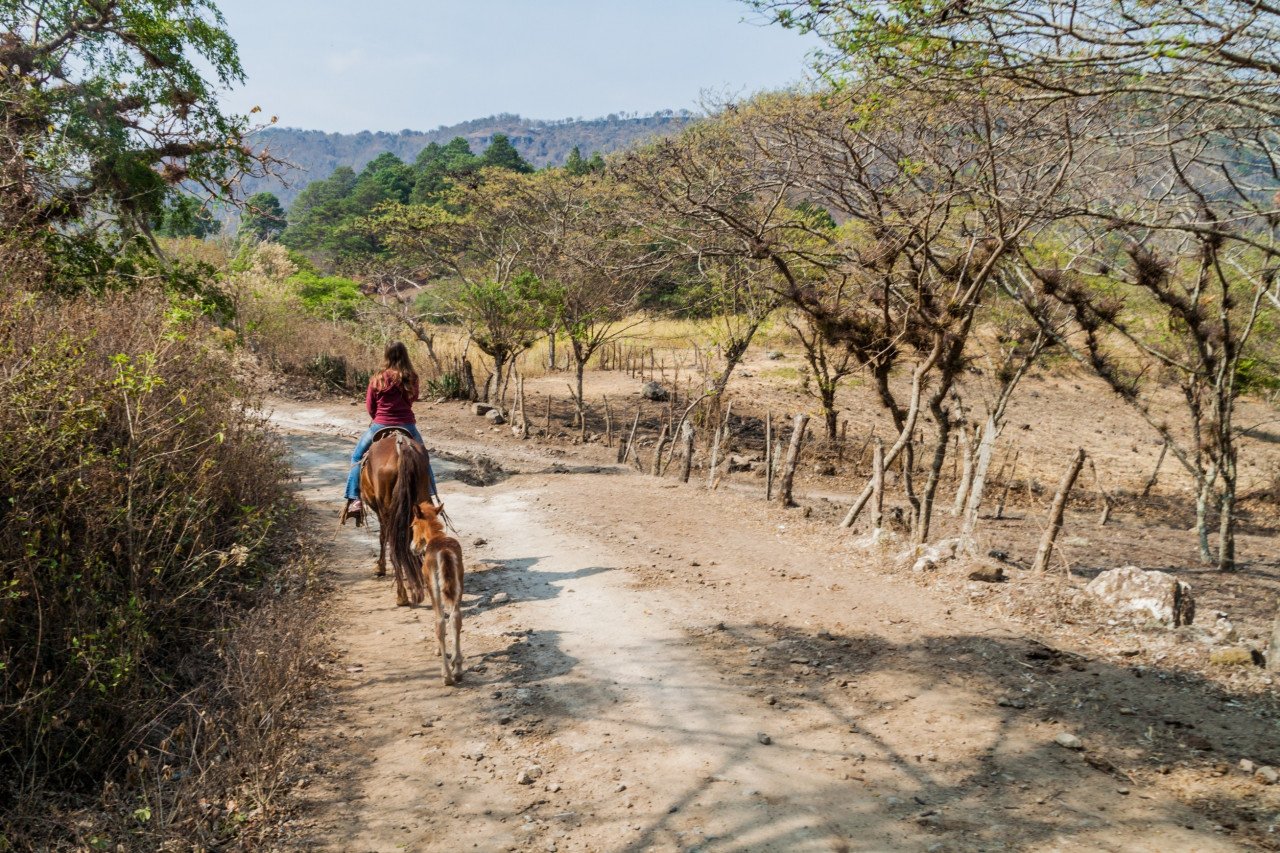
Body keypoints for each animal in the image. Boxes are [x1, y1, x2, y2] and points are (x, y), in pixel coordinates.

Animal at [360, 432, 435, 604]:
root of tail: (402, 449)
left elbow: (382, 537)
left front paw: (380, 567)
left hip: (388, 510)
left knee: (393, 544)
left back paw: (402, 595)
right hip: (419, 501)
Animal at [412, 502, 463, 681]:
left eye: (412, 524)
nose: (413, 548)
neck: (435, 537)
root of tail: (444, 551)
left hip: (435, 587)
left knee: (440, 622)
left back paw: (446, 674)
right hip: (457, 584)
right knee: (455, 618)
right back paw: (457, 668)